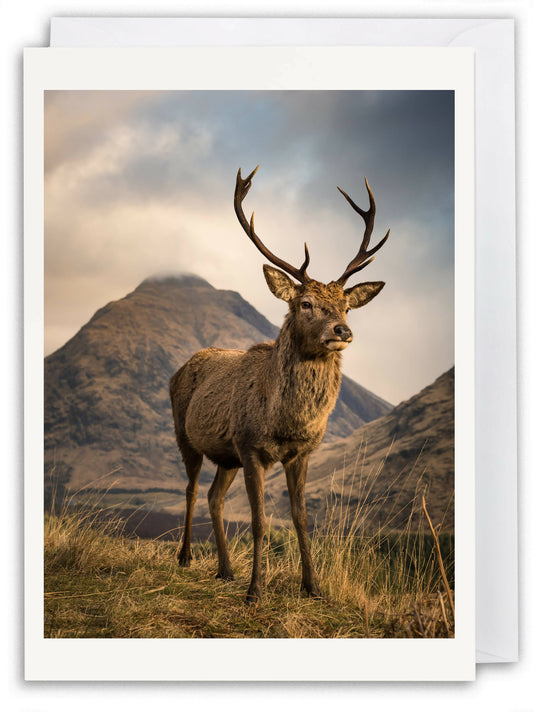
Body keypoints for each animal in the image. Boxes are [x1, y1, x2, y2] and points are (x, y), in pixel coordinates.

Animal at [169, 165, 390, 603]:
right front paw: (256, 590)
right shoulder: (250, 445)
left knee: (214, 497)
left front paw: (313, 586)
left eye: (346, 306)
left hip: (226, 456)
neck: (283, 422)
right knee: (190, 489)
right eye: (305, 304)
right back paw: (185, 557)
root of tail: (181, 367)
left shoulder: (299, 453)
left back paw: (225, 570)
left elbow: (300, 519)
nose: (342, 330)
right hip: (186, 435)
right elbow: (259, 522)